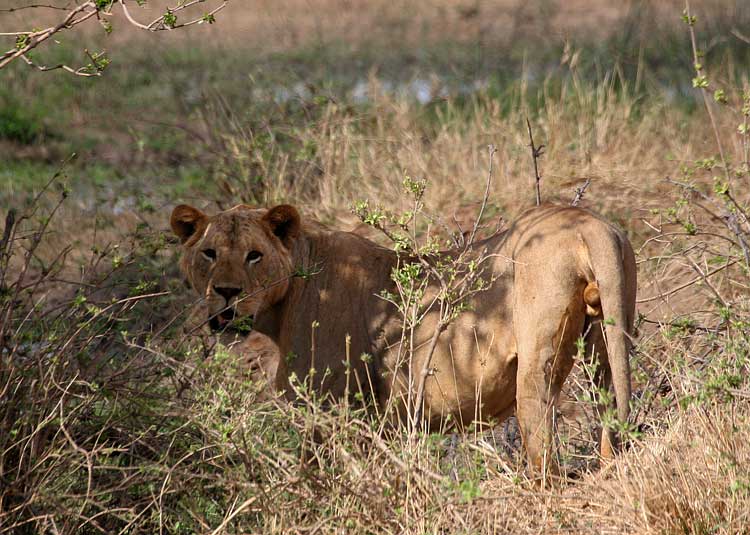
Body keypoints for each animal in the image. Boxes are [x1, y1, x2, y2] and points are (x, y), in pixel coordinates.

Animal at [172, 201, 640, 474]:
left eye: (255, 255)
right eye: (209, 253)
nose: (226, 292)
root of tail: (588, 222)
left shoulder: (330, 407)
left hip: (536, 363)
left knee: (543, 444)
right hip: (609, 332)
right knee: (610, 404)